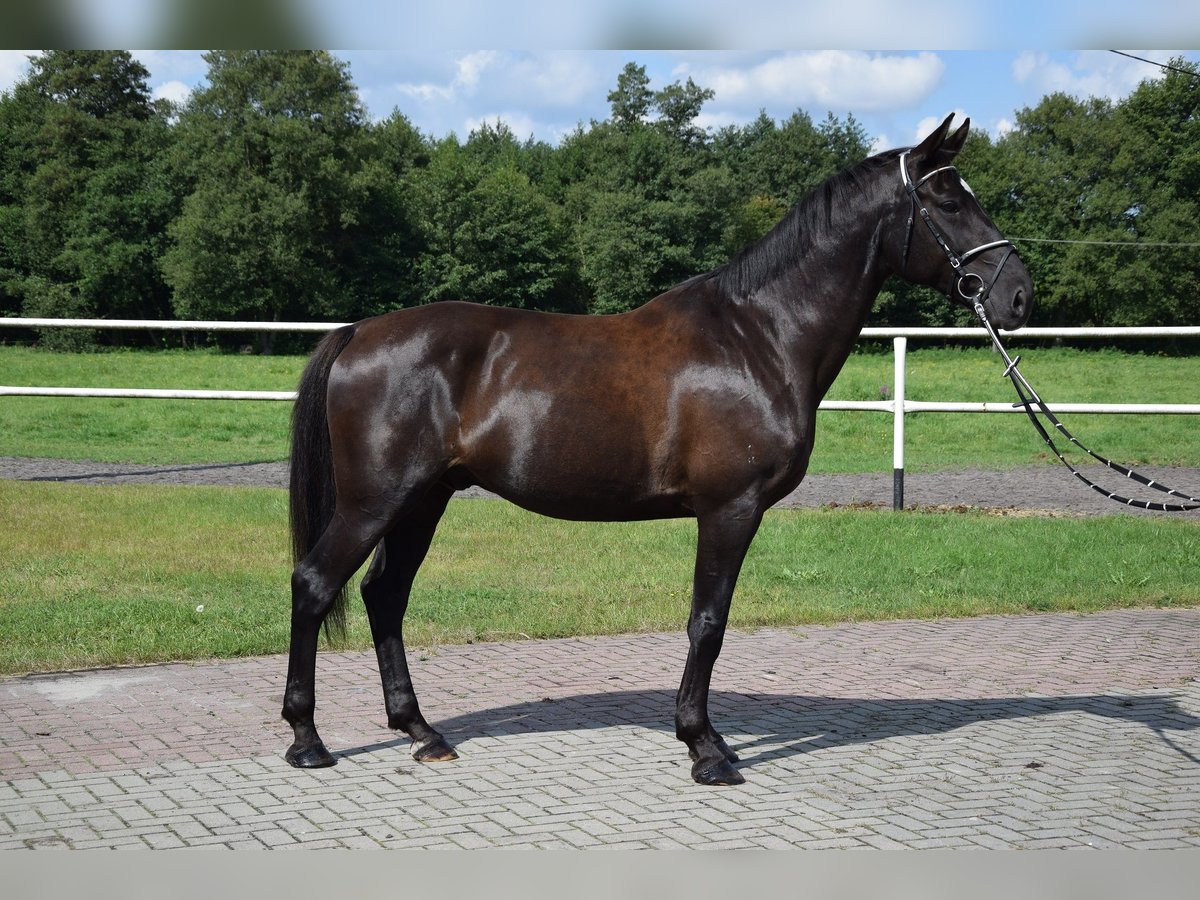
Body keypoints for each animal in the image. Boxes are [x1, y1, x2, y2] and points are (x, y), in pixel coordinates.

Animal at [282, 114, 1033, 786]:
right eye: (948, 199)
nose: (1019, 295)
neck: (758, 337)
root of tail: (359, 331)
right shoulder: (731, 509)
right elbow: (709, 621)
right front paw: (704, 747)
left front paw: (713, 741)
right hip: (376, 501)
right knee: (315, 585)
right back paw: (307, 740)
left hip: (424, 499)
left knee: (384, 595)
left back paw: (421, 732)